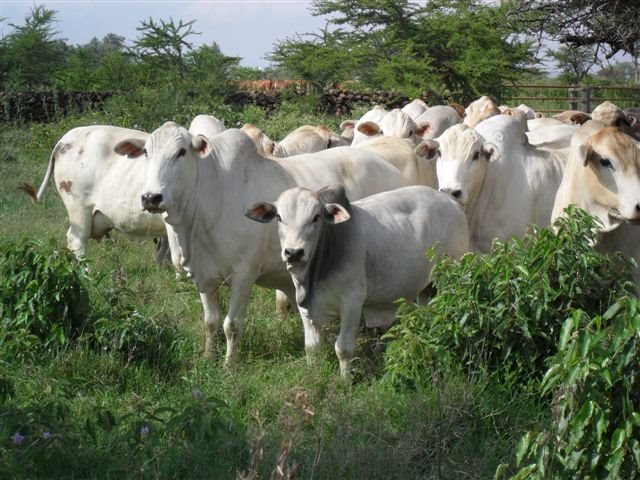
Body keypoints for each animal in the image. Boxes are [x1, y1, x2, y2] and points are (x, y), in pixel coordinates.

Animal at [114, 123, 410, 365]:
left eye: (181, 152)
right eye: (146, 152)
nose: (151, 197)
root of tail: (390, 167)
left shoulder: (243, 274)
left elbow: (231, 325)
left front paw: (228, 365)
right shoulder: (203, 276)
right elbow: (210, 322)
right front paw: (208, 357)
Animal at [245, 184, 469, 378]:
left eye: (316, 217)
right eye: (279, 217)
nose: (293, 252)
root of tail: (451, 201)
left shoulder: (352, 303)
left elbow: (342, 348)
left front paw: (345, 382)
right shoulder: (305, 307)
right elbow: (311, 347)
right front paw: (312, 374)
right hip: (426, 288)